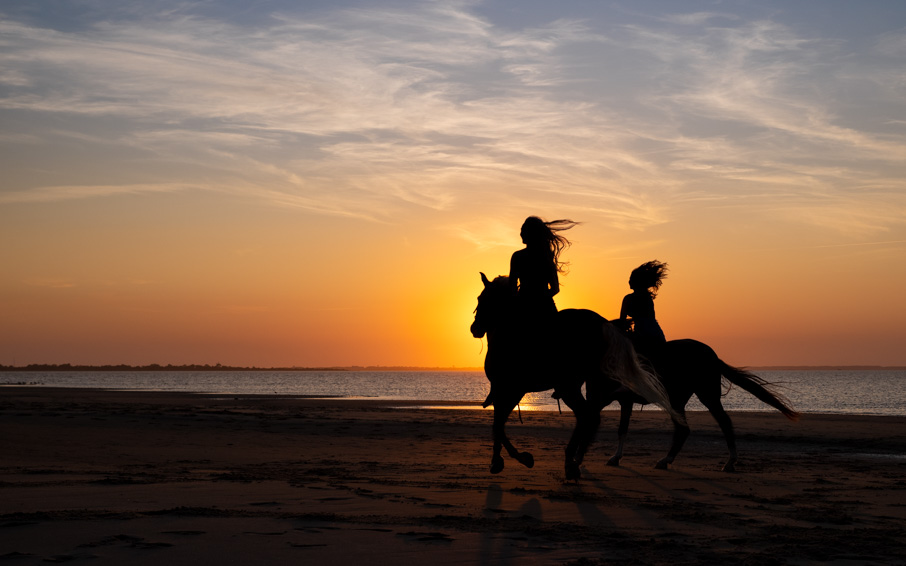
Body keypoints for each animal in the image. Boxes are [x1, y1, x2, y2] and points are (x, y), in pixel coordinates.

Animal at [470, 274, 676, 480]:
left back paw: (571, 462)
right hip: (587, 383)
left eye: (481, 299)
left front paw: (514, 459)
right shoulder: (509, 390)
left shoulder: (508, 388)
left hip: (569, 385)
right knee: (589, 416)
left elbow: (498, 424)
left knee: (586, 415)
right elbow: (498, 422)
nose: (474, 328)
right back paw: (573, 462)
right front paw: (501, 459)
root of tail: (603, 323)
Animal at [604, 340, 796, 472]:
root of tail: (713, 356)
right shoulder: (624, 401)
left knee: (713, 424)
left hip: (698, 396)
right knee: (695, 427)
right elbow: (622, 428)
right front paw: (615, 457)